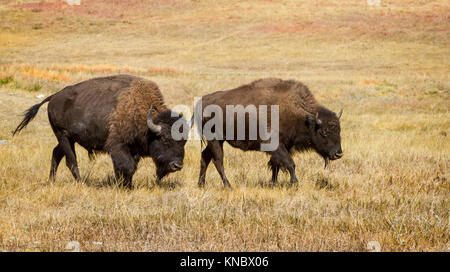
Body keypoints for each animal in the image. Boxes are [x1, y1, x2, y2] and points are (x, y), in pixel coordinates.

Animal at [12, 75, 188, 188]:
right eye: (164, 139)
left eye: (184, 142)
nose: (177, 165)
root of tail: (53, 97)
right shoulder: (117, 147)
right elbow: (126, 167)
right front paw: (122, 187)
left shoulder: (133, 150)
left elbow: (130, 168)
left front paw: (127, 185)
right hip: (63, 136)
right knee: (71, 160)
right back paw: (81, 183)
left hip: (67, 138)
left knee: (56, 153)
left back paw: (51, 182)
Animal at [195, 77, 342, 188]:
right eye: (323, 132)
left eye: (339, 130)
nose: (338, 154)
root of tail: (204, 100)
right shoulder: (275, 145)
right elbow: (290, 163)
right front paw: (294, 183)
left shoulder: (283, 146)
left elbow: (276, 165)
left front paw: (273, 184)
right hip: (215, 140)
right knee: (218, 160)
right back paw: (228, 186)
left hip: (218, 140)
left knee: (205, 157)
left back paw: (201, 185)